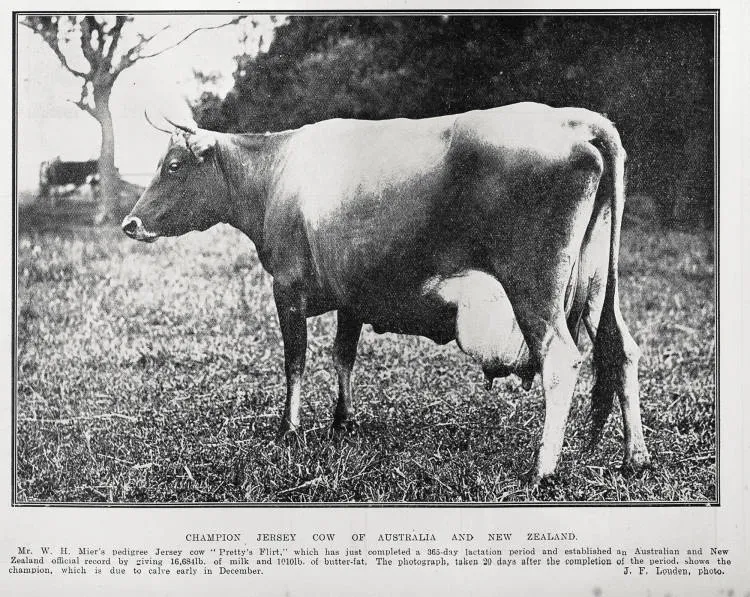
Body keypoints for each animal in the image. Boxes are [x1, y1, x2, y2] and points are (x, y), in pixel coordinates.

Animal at [122, 103, 651, 484]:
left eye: (173, 166)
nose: (129, 223)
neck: (277, 174)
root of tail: (577, 120)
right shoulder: (352, 295)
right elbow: (343, 355)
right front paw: (342, 421)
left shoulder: (287, 287)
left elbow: (295, 361)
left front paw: (289, 430)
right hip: (597, 287)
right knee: (622, 348)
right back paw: (636, 458)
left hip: (534, 288)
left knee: (560, 360)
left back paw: (542, 470)